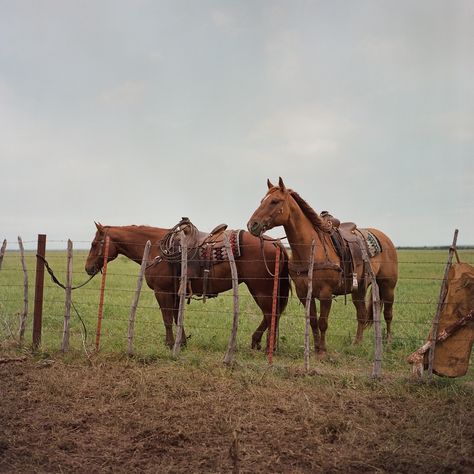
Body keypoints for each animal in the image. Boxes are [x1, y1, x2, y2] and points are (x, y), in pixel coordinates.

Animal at [84, 221, 288, 348]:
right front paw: (181, 342)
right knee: (273, 315)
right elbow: (176, 317)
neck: (156, 249)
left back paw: (258, 343)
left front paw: (169, 343)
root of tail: (274, 243)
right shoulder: (174, 292)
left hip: (260, 288)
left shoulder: (162, 291)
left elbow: (167, 318)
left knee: (270, 314)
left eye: (94, 244)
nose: (88, 268)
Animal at [246, 178, 398, 356]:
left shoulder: (326, 294)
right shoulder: (304, 293)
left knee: (388, 314)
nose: (252, 225)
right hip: (359, 289)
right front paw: (316, 348)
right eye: (262, 201)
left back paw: (388, 342)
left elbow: (323, 322)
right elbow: (313, 321)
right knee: (361, 314)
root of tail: (384, 238)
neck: (311, 249)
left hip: (387, 286)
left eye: (274, 201)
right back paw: (357, 343)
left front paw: (322, 351)